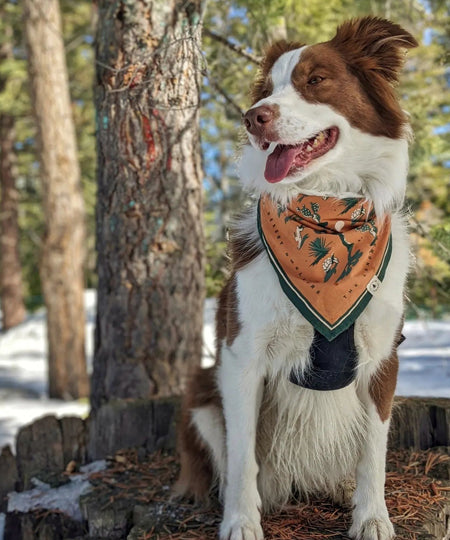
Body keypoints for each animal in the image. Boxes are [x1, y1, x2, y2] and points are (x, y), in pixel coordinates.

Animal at [176, 16, 418, 540]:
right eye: (267, 90)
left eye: (316, 80)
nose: (253, 118)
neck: (326, 212)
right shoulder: (241, 358)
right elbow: (242, 455)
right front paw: (241, 522)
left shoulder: (382, 358)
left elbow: (373, 451)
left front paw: (372, 517)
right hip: (202, 395)